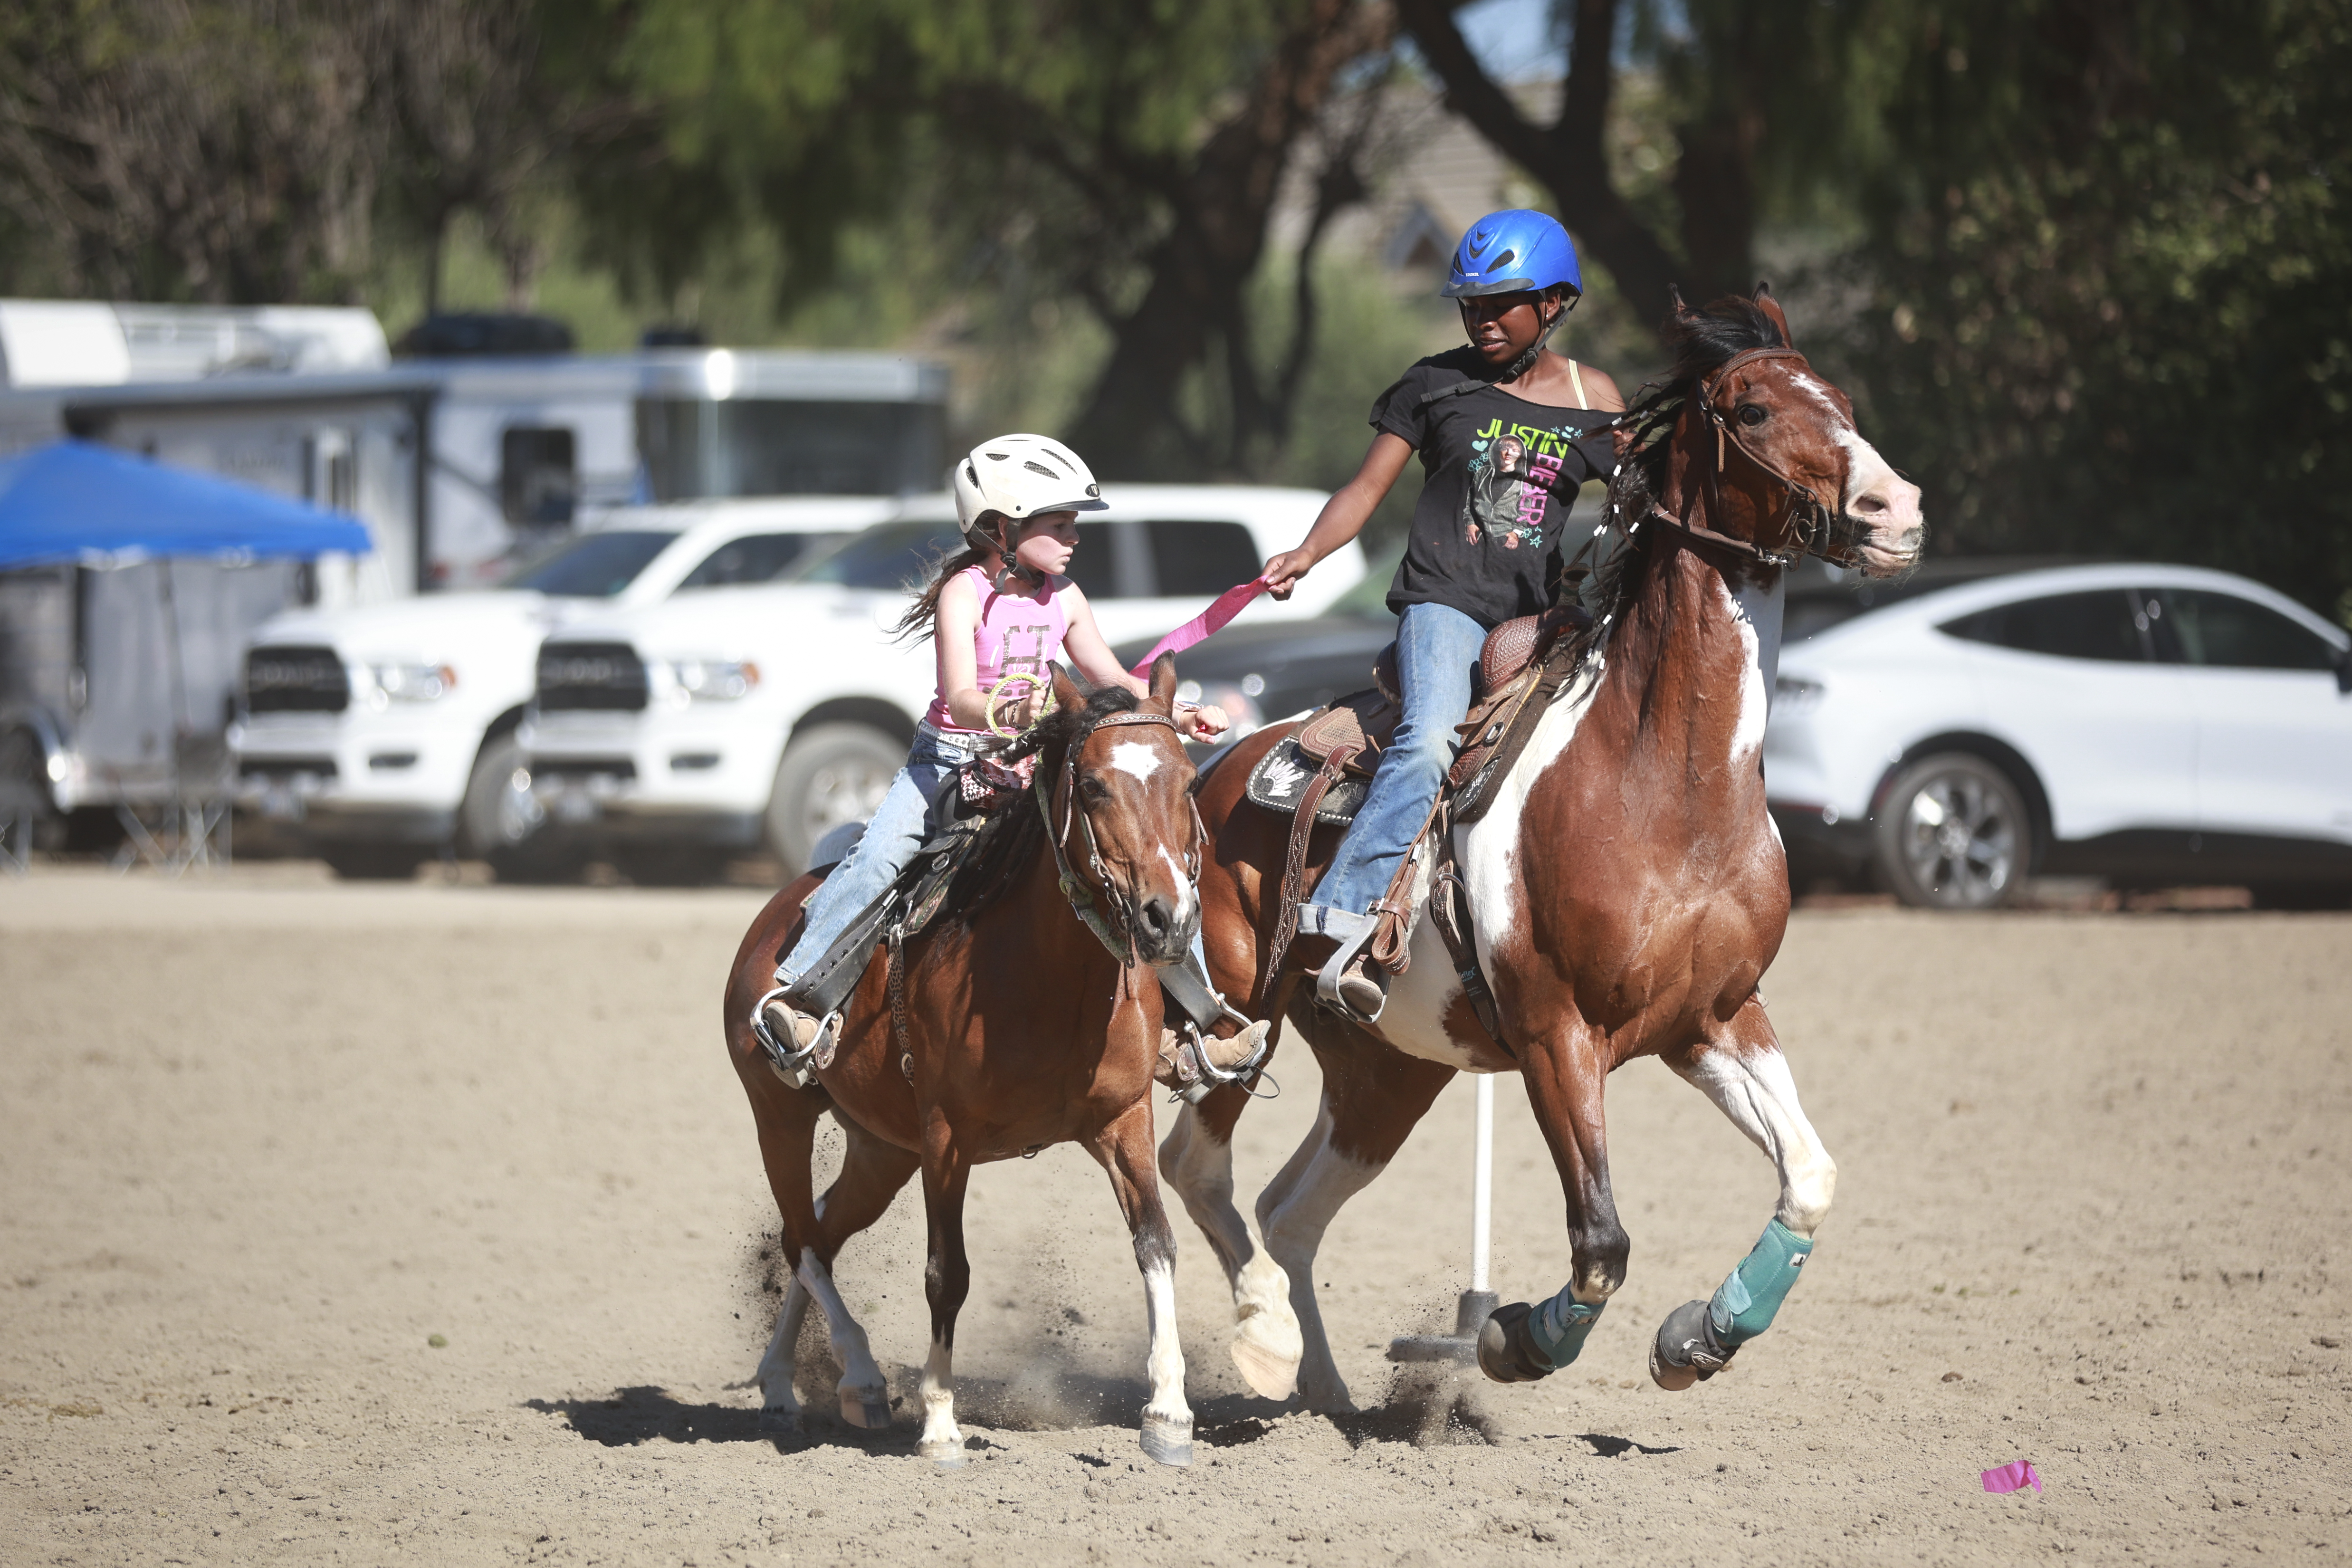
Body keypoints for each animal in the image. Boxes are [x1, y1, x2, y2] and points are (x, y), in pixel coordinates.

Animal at [723, 657, 1259, 1467]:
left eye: (1189, 782)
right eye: (1093, 786)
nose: (1169, 919)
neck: (1050, 977)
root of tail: (774, 915)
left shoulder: (1122, 1121)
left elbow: (1157, 1246)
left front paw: (1168, 1414)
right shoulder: (948, 1137)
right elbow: (948, 1274)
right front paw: (941, 1423)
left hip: (881, 1147)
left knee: (816, 1230)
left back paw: (789, 1383)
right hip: (779, 1113)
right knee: (803, 1240)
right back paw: (860, 1374)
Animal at [1159, 285, 1926, 1410]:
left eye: (1845, 401)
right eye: (1750, 410)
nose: (1895, 511)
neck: (1668, 788)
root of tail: (1217, 766)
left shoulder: (1715, 1020)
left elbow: (1811, 1177)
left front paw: (1700, 1338)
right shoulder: (1555, 1035)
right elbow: (1601, 1243)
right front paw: (1513, 1339)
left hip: (1389, 1073)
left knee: (1287, 1209)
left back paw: (1325, 1391)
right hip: (1237, 1017)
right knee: (1196, 1166)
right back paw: (1265, 1346)